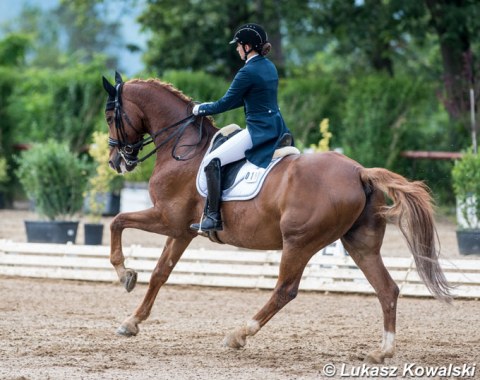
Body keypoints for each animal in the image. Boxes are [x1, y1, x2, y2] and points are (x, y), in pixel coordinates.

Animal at [103, 72, 452, 364]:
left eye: (109, 117)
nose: (116, 162)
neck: (184, 148)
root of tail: (359, 171)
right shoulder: (182, 231)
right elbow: (160, 272)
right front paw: (131, 321)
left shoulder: (168, 218)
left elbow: (117, 220)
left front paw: (124, 275)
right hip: (359, 243)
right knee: (387, 289)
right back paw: (382, 352)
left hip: (299, 242)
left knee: (285, 289)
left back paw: (238, 335)